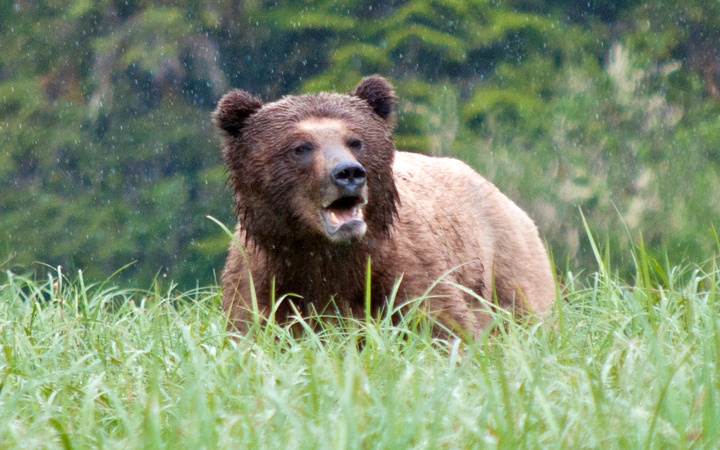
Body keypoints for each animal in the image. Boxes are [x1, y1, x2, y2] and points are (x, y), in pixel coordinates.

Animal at [211, 76, 556, 338]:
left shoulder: (404, 273)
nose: (348, 173)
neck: (325, 255)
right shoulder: (261, 284)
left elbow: (444, 327)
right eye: (301, 147)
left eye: (355, 141)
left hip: (507, 262)